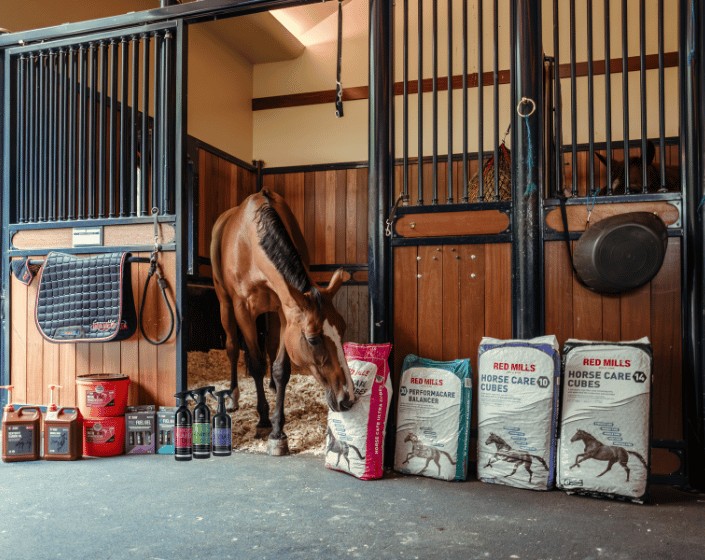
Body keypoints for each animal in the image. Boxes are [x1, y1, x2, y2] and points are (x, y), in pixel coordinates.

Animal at [210, 188, 356, 455]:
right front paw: (264, 422)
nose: (347, 397)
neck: (251, 244)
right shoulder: (243, 309)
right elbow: (256, 364)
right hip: (225, 304)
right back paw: (234, 395)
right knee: (233, 347)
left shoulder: (284, 310)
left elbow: (280, 368)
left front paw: (278, 431)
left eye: (342, 329)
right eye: (313, 339)